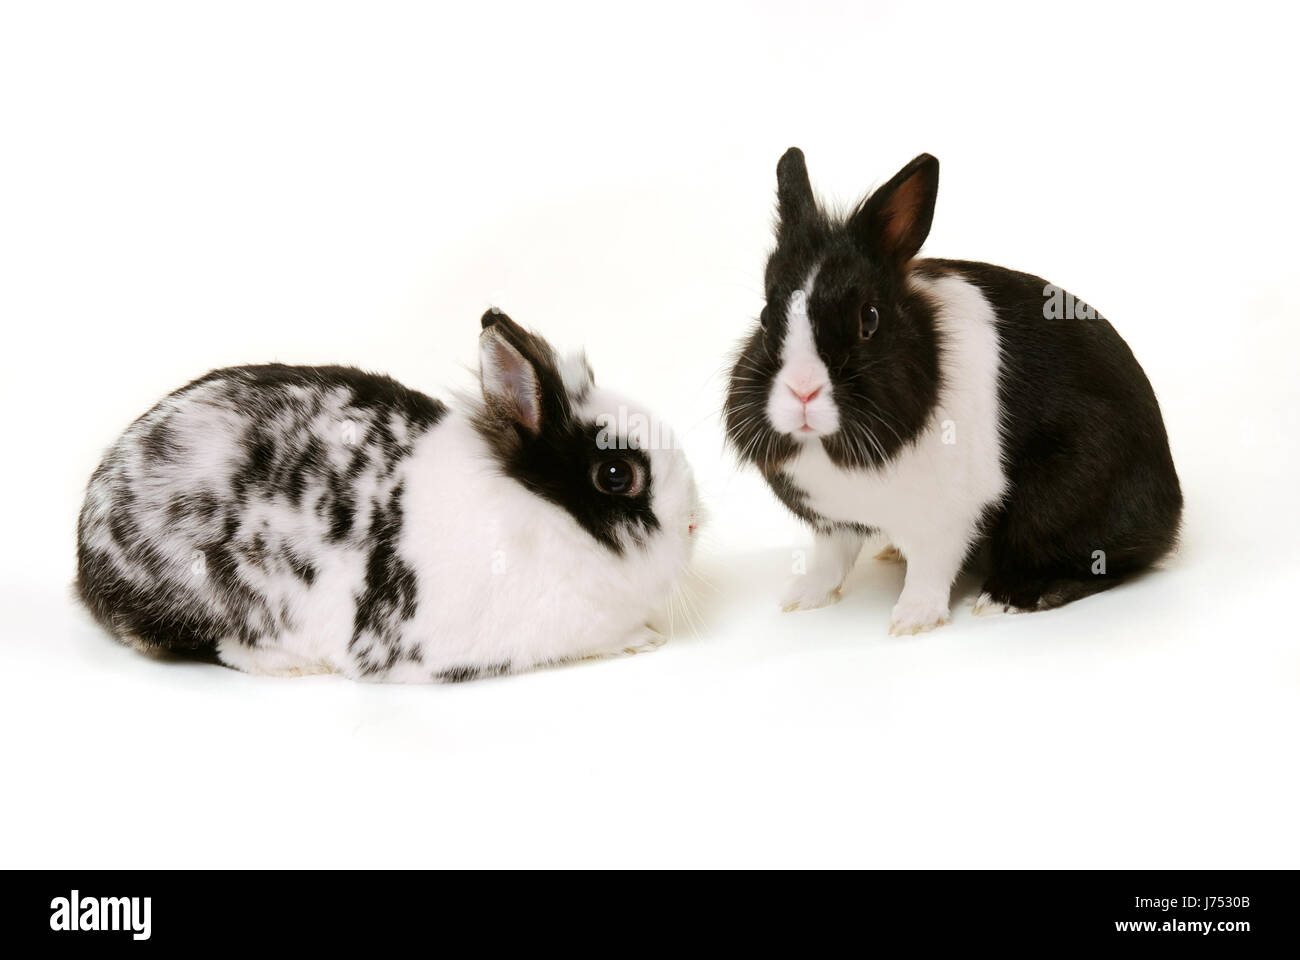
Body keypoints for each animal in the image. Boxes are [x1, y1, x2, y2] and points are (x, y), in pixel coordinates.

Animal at [724, 148, 1182, 635]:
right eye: (766, 318)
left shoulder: (948, 516)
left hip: (1061, 502)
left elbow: (931, 568)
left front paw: (911, 620)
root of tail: (1171, 506)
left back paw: (1008, 598)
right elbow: (831, 560)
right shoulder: (834, 522)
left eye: (869, 319)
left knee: (1103, 563)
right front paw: (802, 598)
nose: (802, 391)